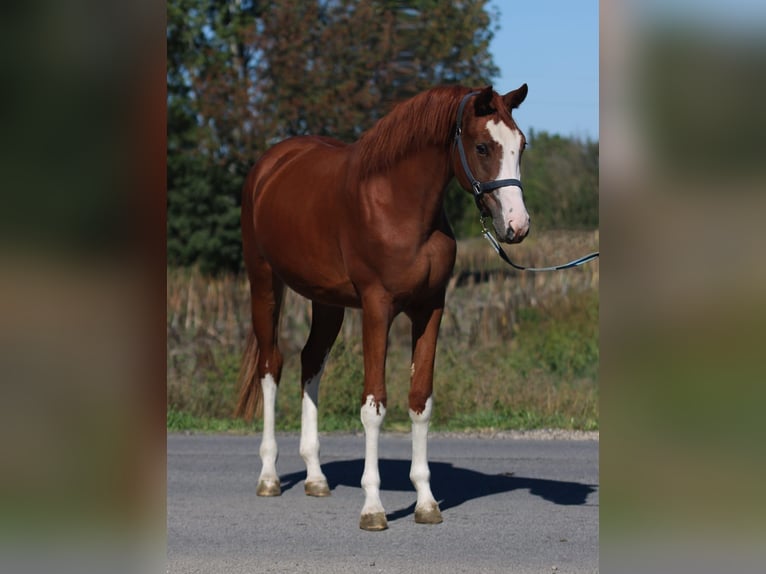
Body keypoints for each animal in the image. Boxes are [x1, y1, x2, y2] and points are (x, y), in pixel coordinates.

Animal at [237, 83, 532, 532]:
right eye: (482, 146)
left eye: (522, 144)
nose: (517, 225)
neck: (397, 205)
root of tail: (268, 166)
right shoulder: (377, 308)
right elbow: (373, 406)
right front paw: (373, 508)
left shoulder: (430, 309)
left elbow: (420, 401)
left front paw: (426, 503)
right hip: (264, 282)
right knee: (271, 366)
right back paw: (269, 477)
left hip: (326, 301)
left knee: (310, 363)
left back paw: (315, 477)